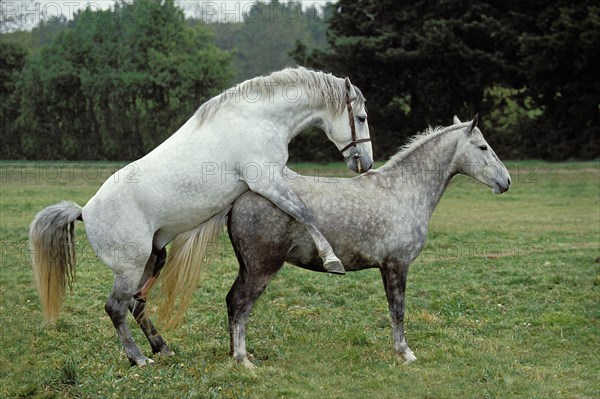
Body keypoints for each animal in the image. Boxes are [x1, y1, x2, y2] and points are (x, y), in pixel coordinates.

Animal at [225, 115, 510, 368]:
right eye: (483, 147)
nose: (506, 181)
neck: (403, 190)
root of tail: (241, 200)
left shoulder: (387, 267)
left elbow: (394, 309)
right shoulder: (397, 265)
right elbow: (398, 310)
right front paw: (405, 353)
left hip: (247, 268)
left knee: (231, 301)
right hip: (262, 269)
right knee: (241, 305)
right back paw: (243, 360)